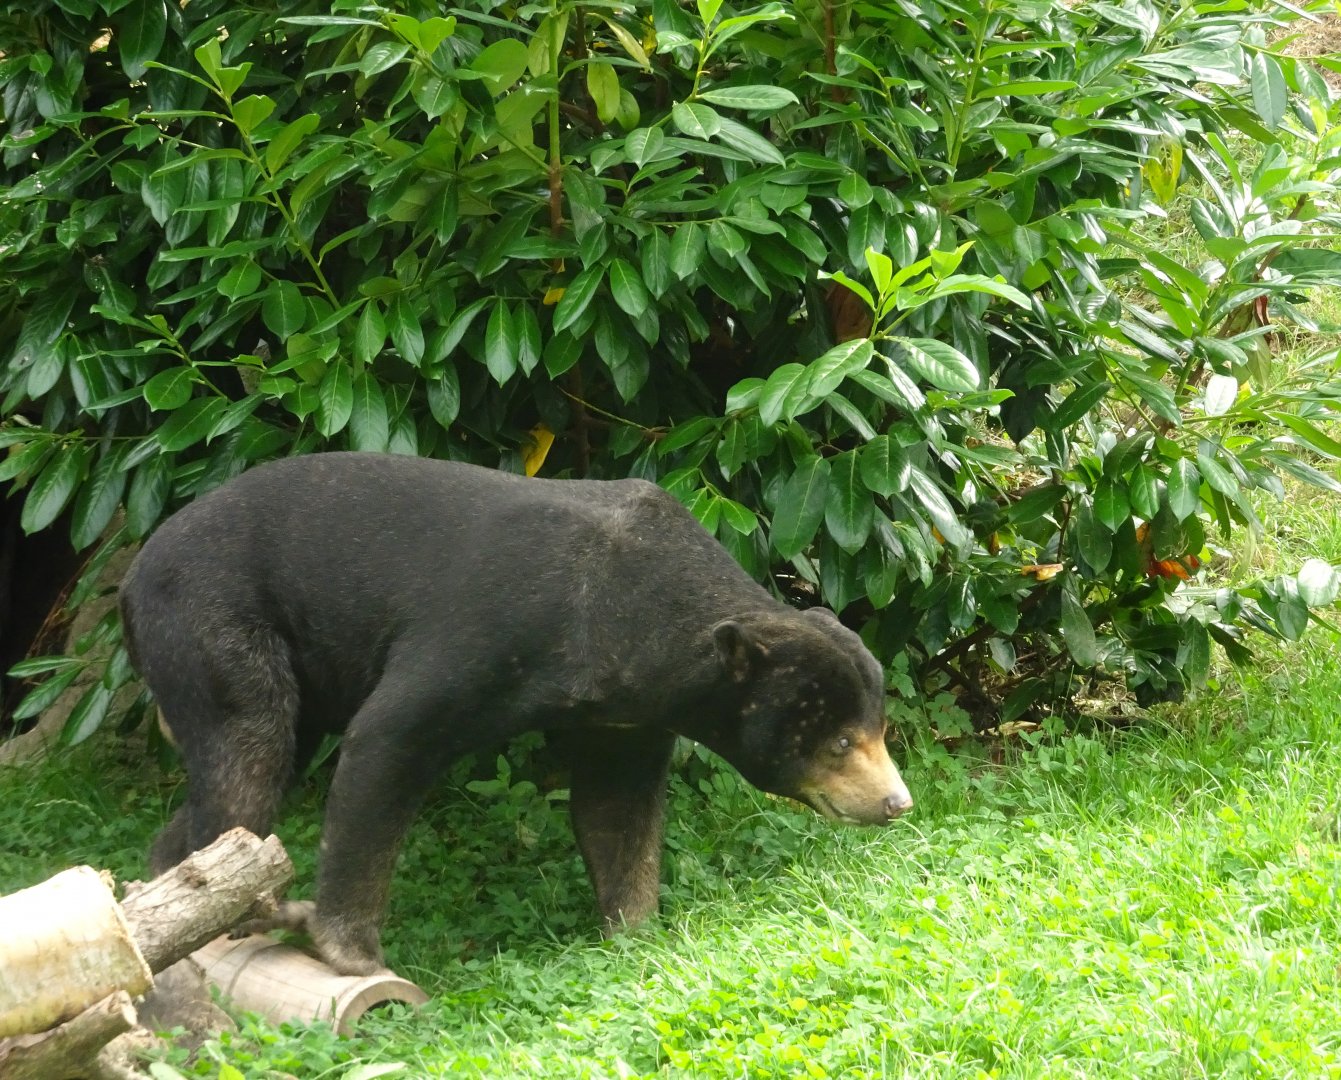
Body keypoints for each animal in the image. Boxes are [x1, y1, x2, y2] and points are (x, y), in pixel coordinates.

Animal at [119, 452, 912, 975]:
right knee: (249, 752)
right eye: (839, 743)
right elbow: (385, 741)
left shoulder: (625, 719)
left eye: (879, 732)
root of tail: (129, 578)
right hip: (212, 624)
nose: (896, 803)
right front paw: (352, 955)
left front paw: (637, 932)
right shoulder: (487, 632)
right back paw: (239, 914)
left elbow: (616, 813)